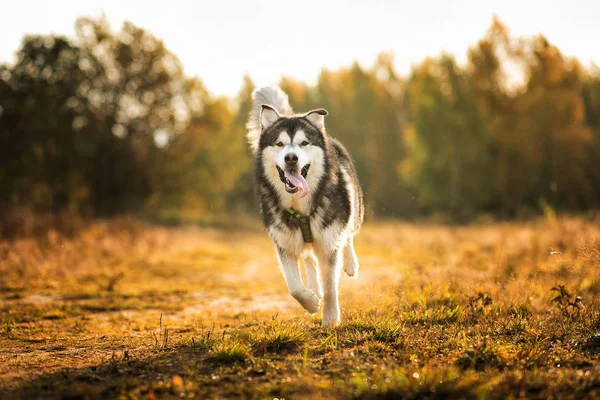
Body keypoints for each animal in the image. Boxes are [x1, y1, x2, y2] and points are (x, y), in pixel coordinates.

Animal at [245, 86, 366, 326]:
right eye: (280, 144)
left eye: (304, 143)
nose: (291, 158)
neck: (300, 208)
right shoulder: (283, 243)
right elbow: (294, 288)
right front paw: (311, 302)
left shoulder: (329, 242)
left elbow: (331, 286)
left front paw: (330, 319)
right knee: (309, 258)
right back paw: (314, 287)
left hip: (355, 210)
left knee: (348, 235)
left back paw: (350, 264)